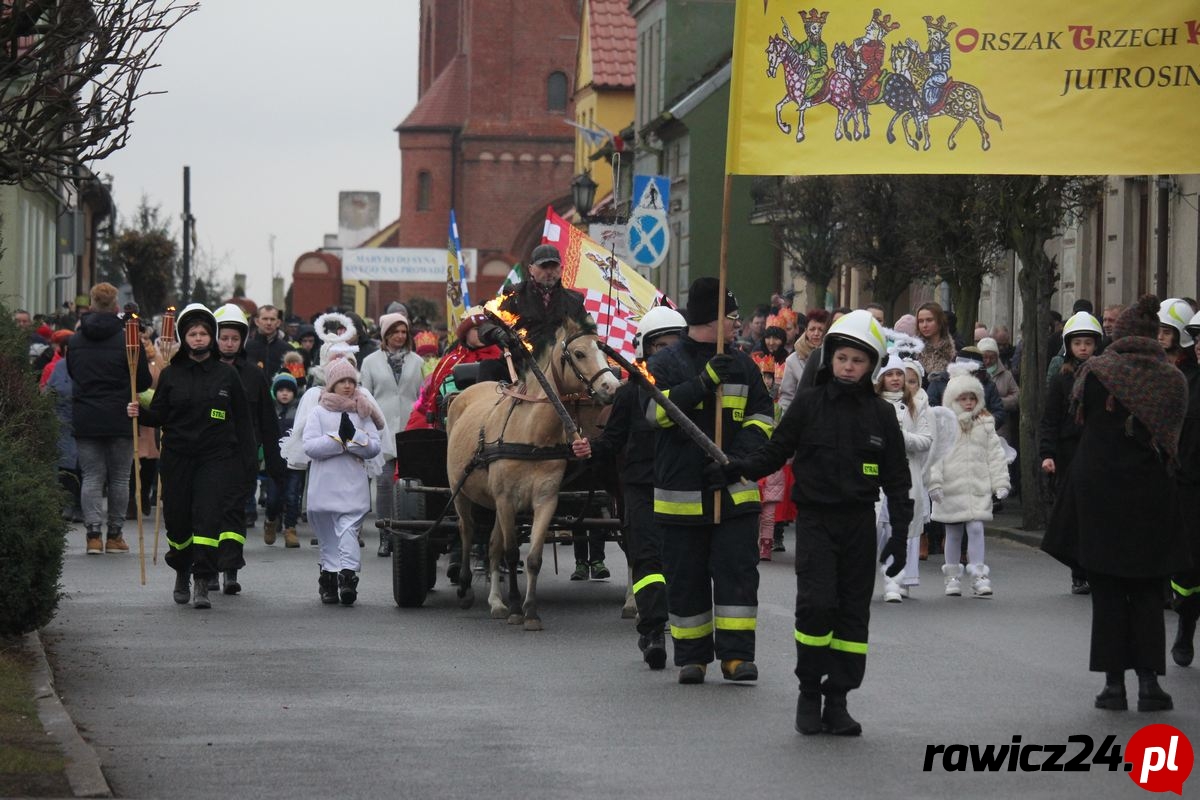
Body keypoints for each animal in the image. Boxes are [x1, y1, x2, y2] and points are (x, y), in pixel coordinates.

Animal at [446, 314, 624, 633]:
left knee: (492, 545)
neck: (531, 435)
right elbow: (511, 552)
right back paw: (465, 588)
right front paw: (518, 608)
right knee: (467, 531)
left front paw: (530, 611)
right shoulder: (506, 500)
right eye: (579, 354)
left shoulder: (544, 501)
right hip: (461, 491)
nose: (612, 388)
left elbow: (532, 558)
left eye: (604, 351)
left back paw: (496, 602)